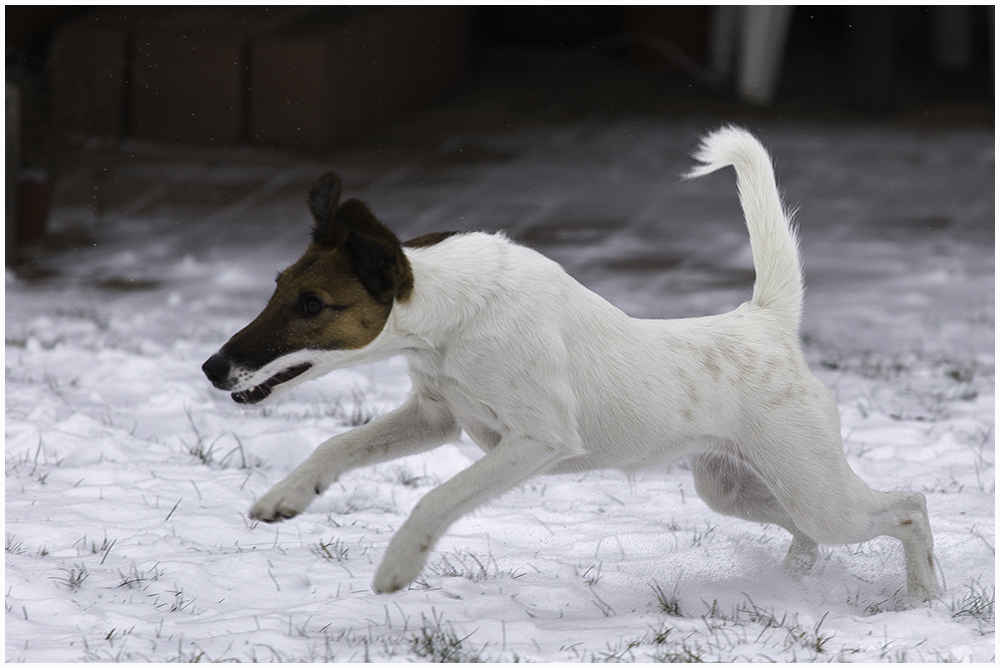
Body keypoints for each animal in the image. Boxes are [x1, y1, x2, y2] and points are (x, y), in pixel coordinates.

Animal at [201, 126, 936, 600]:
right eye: (277, 287)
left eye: (313, 305)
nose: (212, 368)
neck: (453, 320)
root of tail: (764, 322)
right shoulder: (435, 416)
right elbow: (336, 444)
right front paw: (286, 497)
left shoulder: (537, 439)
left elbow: (437, 498)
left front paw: (398, 567)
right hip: (733, 486)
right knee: (814, 532)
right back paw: (799, 577)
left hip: (813, 488)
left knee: (908, 506)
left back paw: (921, 597)